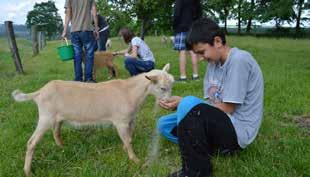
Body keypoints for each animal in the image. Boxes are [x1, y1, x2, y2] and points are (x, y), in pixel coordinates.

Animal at [12, 63, 174, 176]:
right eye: (162, 88)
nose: (169, 101)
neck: (130, 92)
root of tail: (40, 92)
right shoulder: (120, 121)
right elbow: (128, 140)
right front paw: (135, 160)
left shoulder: (130, 120)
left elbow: (128, 138)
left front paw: (125, 150)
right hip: (45, 117)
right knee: (31, 142)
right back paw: (28, 171)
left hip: (56, 118)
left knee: (56, 132)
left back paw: (62, 147)